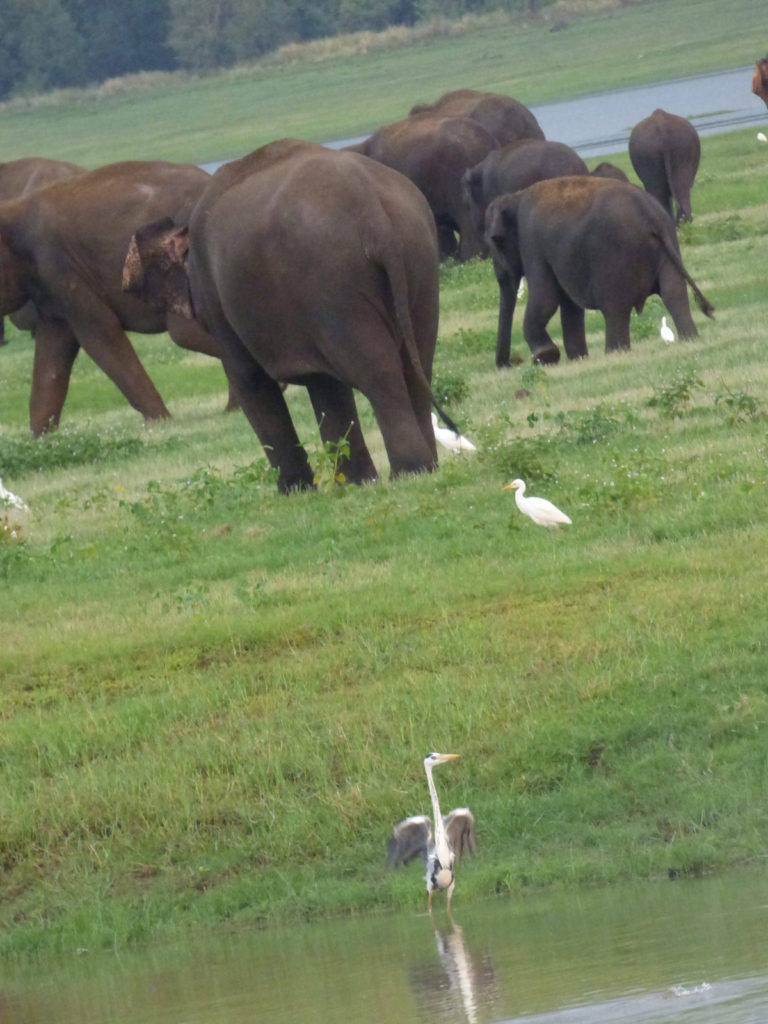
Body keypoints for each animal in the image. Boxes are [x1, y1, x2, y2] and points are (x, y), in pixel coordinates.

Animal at [120, 141, 444, 495]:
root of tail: (374, 213)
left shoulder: (219, 300)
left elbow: (250, 379)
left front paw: (294, 491)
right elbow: (326, 386)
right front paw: (355, 483)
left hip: (333, 283)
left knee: (378, 372)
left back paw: (409, 472)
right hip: (418, 262)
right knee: (417, 363)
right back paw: (427, 468)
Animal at [487, 177, 716, 368]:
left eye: (496, 242)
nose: (508, 364)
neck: (515, 197)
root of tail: (649, 213)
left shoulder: (532, 244)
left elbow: (546, 299)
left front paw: (545, 357)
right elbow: (570, 305)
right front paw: (578, 359)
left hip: (615, 258)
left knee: (615, 308)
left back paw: (615, 353)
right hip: (667, 247)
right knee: (674, 292)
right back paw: (690, 339)